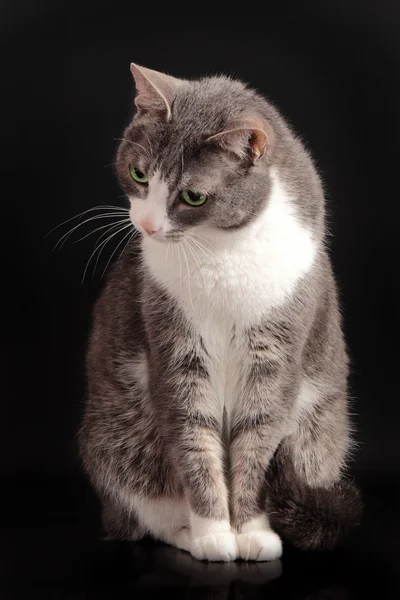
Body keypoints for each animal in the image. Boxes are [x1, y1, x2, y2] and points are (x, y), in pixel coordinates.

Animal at [79, 63, 362, 560]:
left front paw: (252, 532)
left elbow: (257, 442)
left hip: (320, 436)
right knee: (143, 513)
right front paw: (214, 533)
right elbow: (194, 438)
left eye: (193, 197)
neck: (219, 250)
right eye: (138, 173)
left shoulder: (275, 352)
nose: (147, 224)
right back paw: (186, 536)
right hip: (117, 439)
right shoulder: (175, 344)